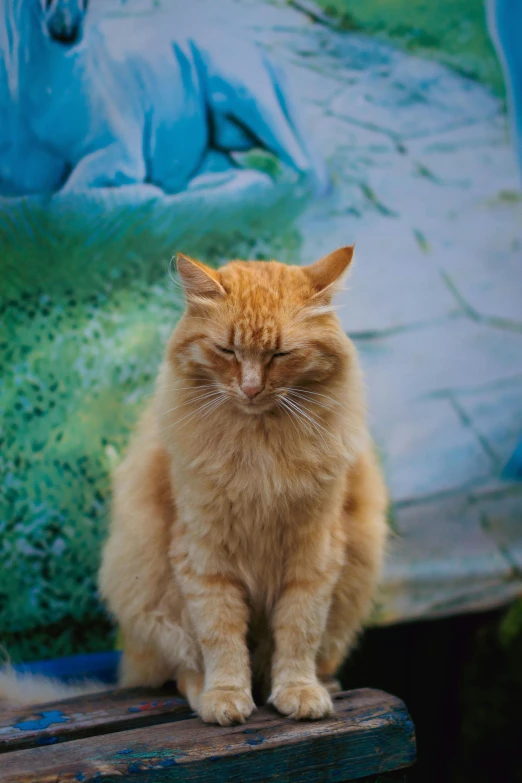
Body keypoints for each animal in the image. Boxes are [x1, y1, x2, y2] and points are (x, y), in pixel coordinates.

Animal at [97, 248, 386, 724]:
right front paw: (227, 696)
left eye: (280, 354)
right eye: (226, 350)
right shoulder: (205, 557)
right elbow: (221, 636)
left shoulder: (312, 556)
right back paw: (203, 693)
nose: (250, 388)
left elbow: (299, 631)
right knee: (181, 667)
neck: (259, 449)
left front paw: (298, 691)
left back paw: (321, 683)